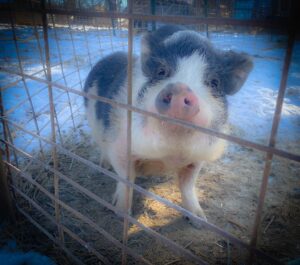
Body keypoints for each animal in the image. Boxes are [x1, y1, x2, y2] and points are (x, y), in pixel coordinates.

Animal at [84, 25, 253, 223]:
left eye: (214, 82)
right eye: (161, 72)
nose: (180, 88)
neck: (171, 152)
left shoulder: (197, 158)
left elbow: (188, 185)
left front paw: (200, 220)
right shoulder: (120, 146)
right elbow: (126, 178)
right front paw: (121, 213)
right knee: (102, 147)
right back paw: (105, 166)